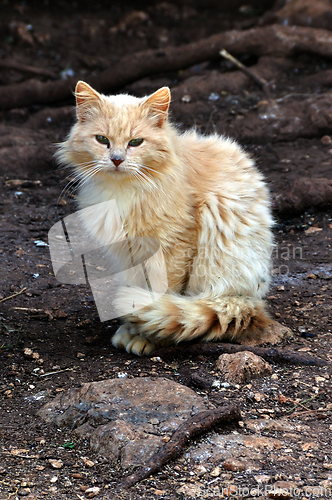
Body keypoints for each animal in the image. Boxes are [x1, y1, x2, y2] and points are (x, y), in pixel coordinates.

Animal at [57, 80, 274, 356]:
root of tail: (251, 299)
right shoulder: (130, 252)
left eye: (136, 142)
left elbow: (161, 297)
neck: (123, 192)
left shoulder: (174, 247)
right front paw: (132, 327)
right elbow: (139, 294)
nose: (117, 159)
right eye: (102, 140)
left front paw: (150, 337)